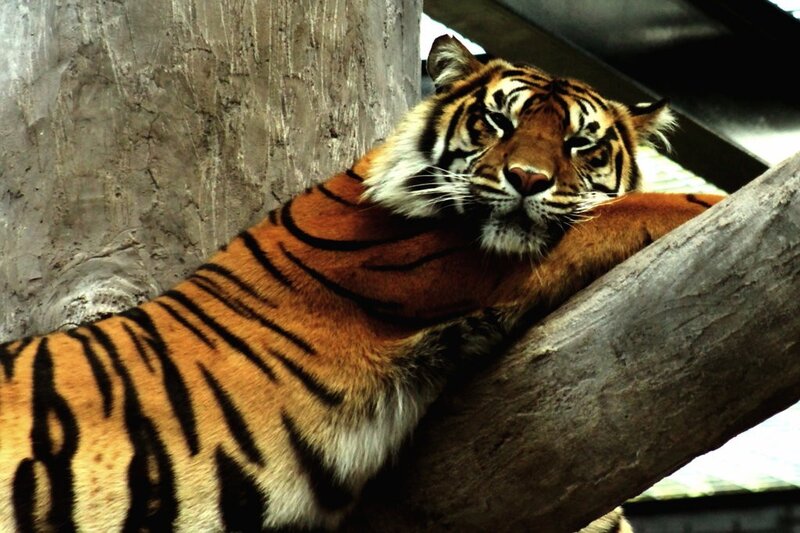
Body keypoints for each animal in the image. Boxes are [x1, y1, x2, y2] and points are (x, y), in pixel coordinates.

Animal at [0, 35, 723, 532]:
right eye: (498, 122)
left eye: (580, 144)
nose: (526, 179)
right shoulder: (441, 264)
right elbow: (625, 210)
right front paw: (714, 198)